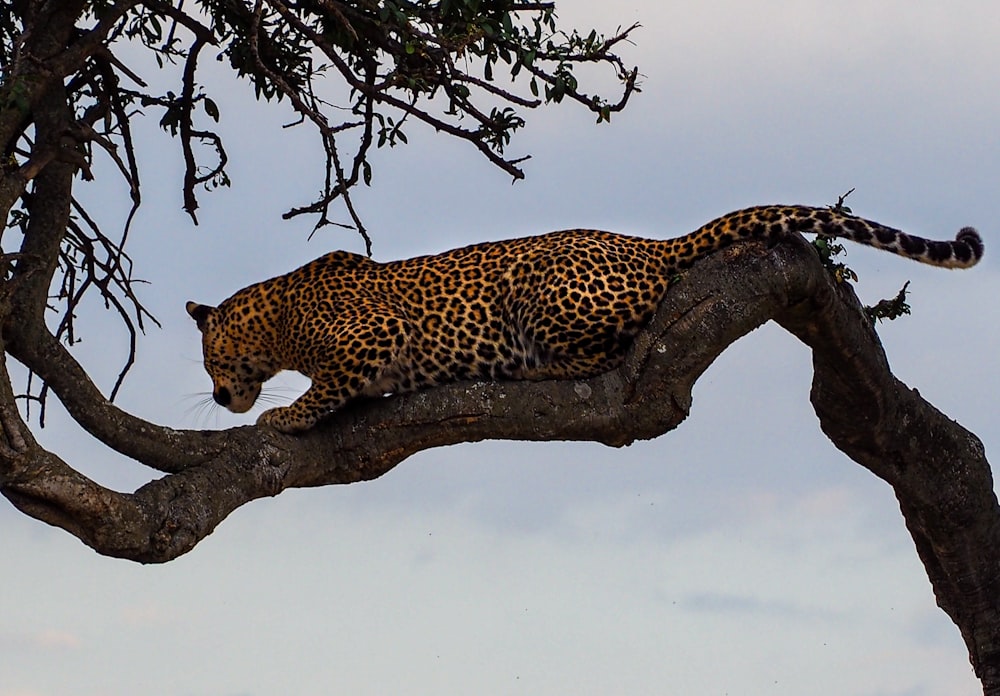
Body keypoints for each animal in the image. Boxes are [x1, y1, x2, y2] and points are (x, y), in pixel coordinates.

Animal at [189, 201, 984, 432]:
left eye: (208, 362)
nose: (222, 398)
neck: (276, 314)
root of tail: (648, 243)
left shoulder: (376, 332)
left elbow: (325, 385)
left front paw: (282, 417)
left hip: (541, 295)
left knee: (609, 349)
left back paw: (542, 367)